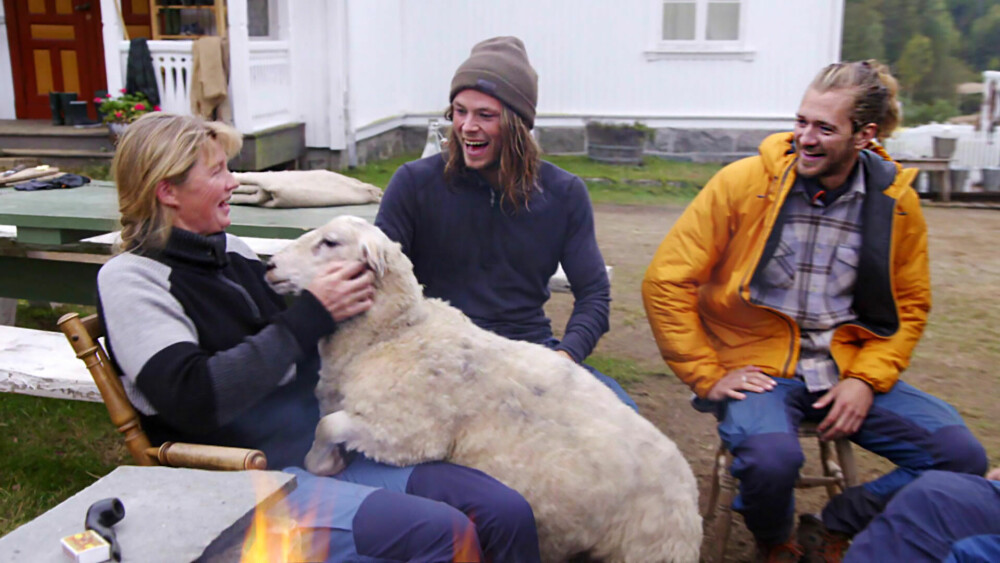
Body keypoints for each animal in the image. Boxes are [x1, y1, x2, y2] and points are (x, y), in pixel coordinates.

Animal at [266, 217, 704, 563]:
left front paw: (321, 464)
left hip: (649, 549)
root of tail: (690, 497)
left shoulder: (407, 434)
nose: (269, 265)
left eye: (330, 242)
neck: (394, 334)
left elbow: (329, 426)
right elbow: (328, 421)